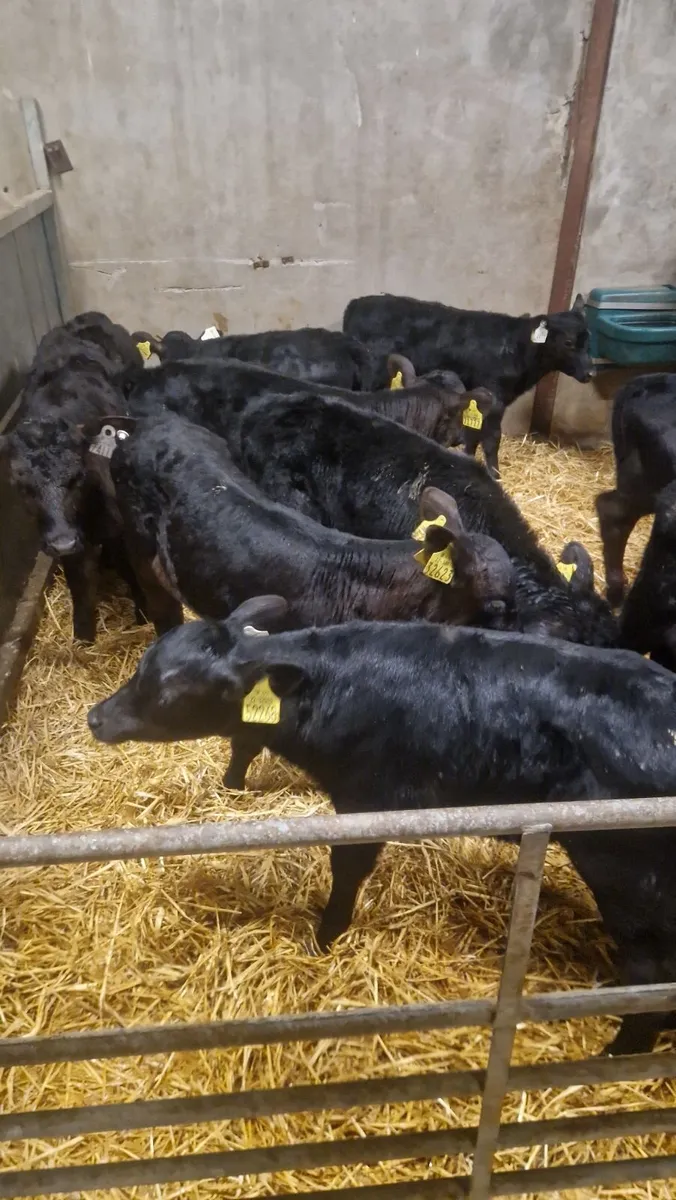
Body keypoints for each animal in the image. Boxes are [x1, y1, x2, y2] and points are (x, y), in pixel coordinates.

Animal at [88, 597, 676, 1056]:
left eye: (168, 689)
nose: (96, 717)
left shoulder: (366, 798)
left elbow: (347, 869)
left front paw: (322, 941)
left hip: (627, 872)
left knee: (650, 969)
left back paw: (619, 1052)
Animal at [343, 293, 592, 477]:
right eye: (568, 342)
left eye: (589, 338)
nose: (590, 372)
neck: (516, 348)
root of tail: (357, 303)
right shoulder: (495, 397)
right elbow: (491, 439)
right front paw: (495, 474)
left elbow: (473, 433)